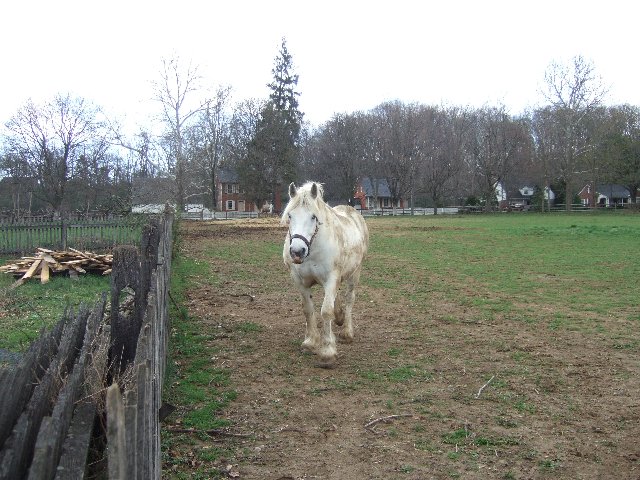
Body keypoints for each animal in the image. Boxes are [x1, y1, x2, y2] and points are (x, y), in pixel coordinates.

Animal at [282, 181, 370, 368]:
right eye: (290, 216)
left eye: (313, 217)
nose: (297, 252)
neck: (313, 249)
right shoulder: (300, 281)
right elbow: (308, 309)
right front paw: (310, 342)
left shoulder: (331, 279)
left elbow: (326, 311)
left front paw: (327, 352)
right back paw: (340, 317)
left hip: (354, 273)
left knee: (349, 299)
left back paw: (347, 332)